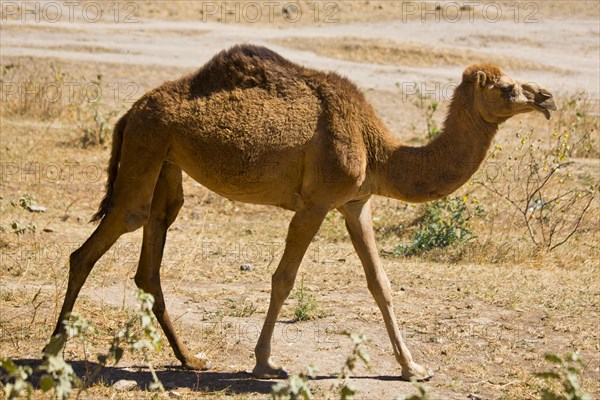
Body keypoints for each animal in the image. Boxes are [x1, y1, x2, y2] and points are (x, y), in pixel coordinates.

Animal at [47, 44, 556, 382]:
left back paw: (190, 360)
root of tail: (129, 110)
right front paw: (265, 362)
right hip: (146, 146)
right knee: (94, 245)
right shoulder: (316, 203)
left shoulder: (355, 203)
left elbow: (380, 283)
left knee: (151, 253)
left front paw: (413, 367)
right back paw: (53, 352)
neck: (379, 149)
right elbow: (284, 278)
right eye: (508, 88)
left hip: (165, 161)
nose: (546, 97)